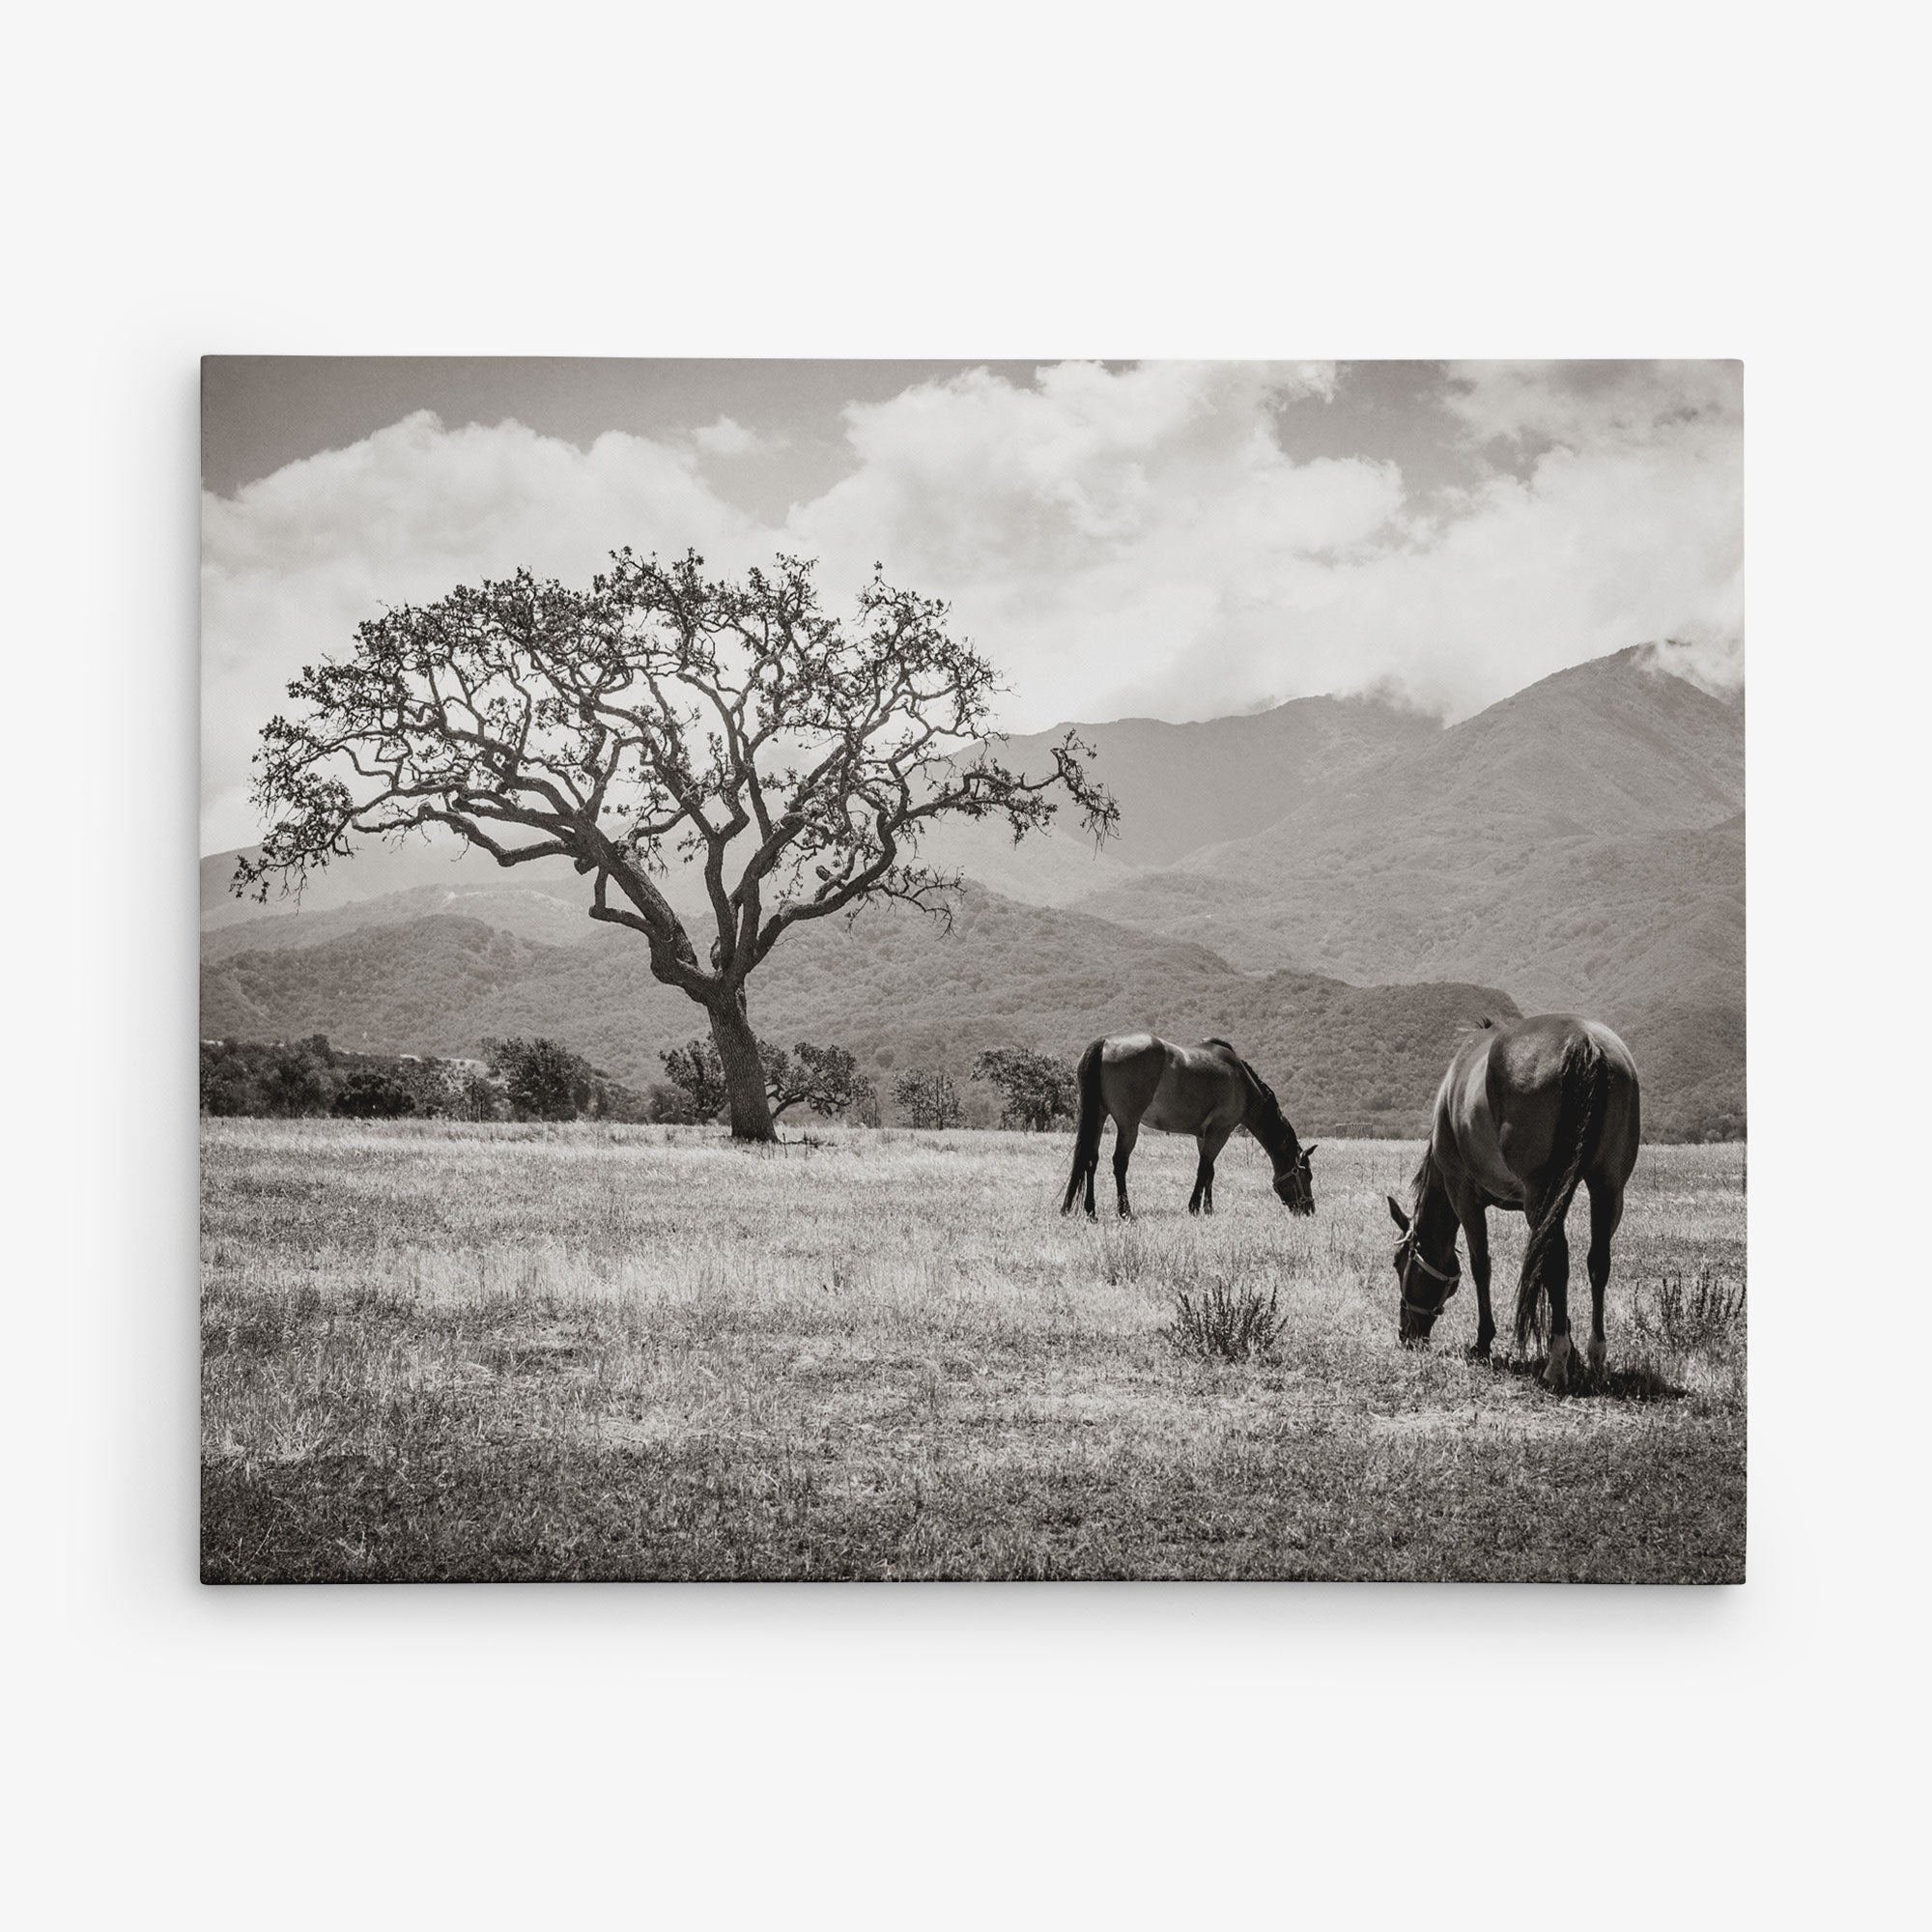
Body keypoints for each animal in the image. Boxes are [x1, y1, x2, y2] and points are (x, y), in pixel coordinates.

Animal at [1059, 1036, 1314, 1213]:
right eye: (1307, 1176)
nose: (1308, 1209)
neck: (1242, 1083)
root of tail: (1105, 1042)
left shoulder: (1204, 1135)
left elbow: (1210, 1171)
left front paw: (1208, 1209)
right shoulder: (1219, 1132)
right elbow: (1204, 1170)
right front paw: (1193, 1207)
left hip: (1099, 1117)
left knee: (1090, 1160)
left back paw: (1090, 1211)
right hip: (1128, 1125)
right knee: (1119, 1163)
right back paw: (1125, 1211)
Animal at [1391, 1012, 1646, 1391]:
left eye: (1398, 1264)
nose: (1406, 1334)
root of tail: (1584, 1041)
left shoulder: (1463, 1192)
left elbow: (1481, 1264)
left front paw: (1484, 1340)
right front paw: (1572, 1348)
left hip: (1541, 1193)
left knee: (1556, 1263)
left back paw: (1555, 1363)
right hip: (1608, 1188)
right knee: (1597, 1263)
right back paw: (1595, 1357)